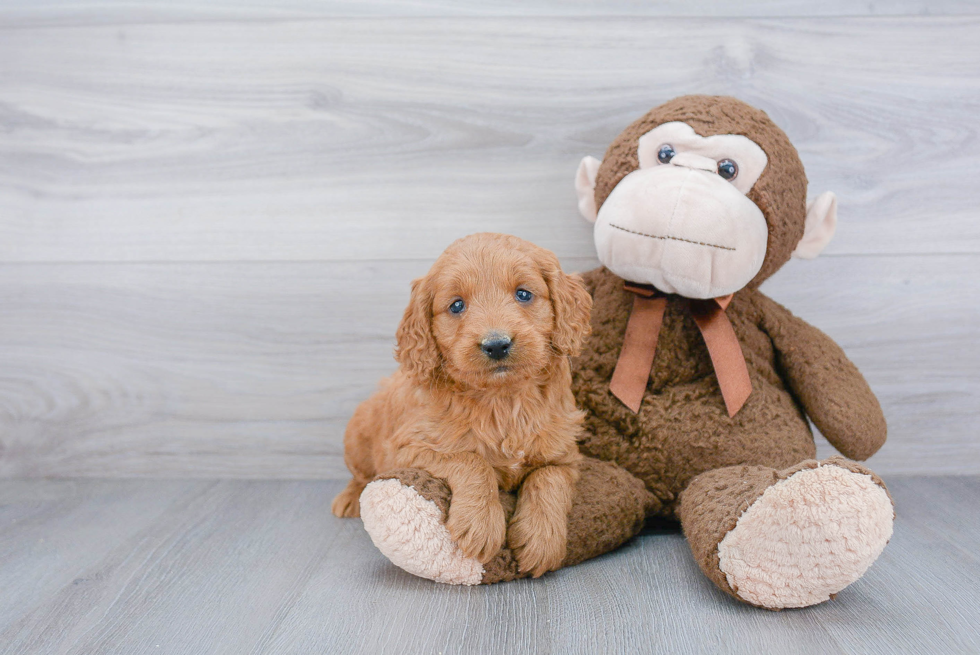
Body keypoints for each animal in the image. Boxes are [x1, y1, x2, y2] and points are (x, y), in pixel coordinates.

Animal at [332, 233, 588, 576]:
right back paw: (348, 498)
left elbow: (548, 478)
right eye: (456, 305)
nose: (496, 344)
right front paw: (481, 525)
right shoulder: (408, 448)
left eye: (524, 294)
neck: (502, 399)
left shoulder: (565, 454)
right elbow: (471, 460)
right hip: (357, 434)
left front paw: (541, 541)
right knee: (359, 475)